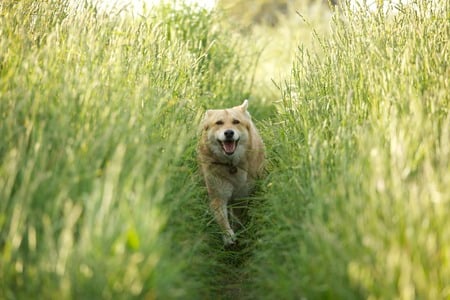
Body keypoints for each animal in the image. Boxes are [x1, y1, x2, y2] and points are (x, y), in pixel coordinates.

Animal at [197, 99, 264, 245]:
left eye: (236, 122)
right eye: (219, 123)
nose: (228, 133)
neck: (231, 164)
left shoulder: (242, 195)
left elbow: (238, 216)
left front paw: (238, 230)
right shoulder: (218, 193)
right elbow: (221, 217)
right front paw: (228, 236)